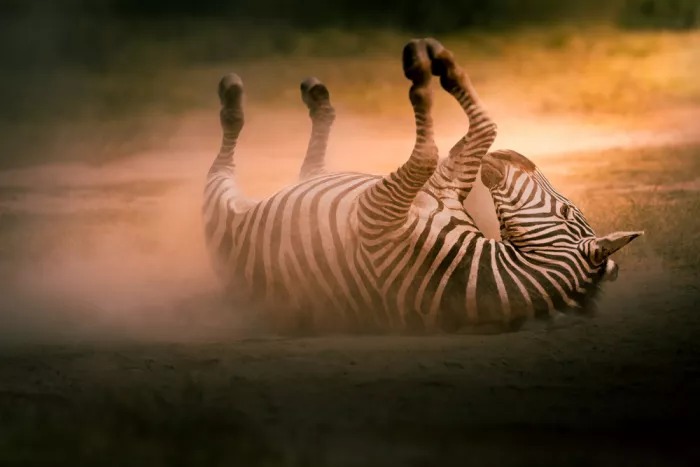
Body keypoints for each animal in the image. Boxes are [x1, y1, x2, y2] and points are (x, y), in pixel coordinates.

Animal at [203, 38, 643, 335]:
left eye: (568, 212)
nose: (519, 156)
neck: (469, 269)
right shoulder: (441, 188)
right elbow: (485, 128)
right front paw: (444, 63)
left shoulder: (378, 210)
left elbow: (432, 149)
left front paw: (424, 69)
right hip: (308, 181)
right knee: (312, 165)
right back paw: (317, 96)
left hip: (218, 202)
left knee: (229, 147)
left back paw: (234, 93)